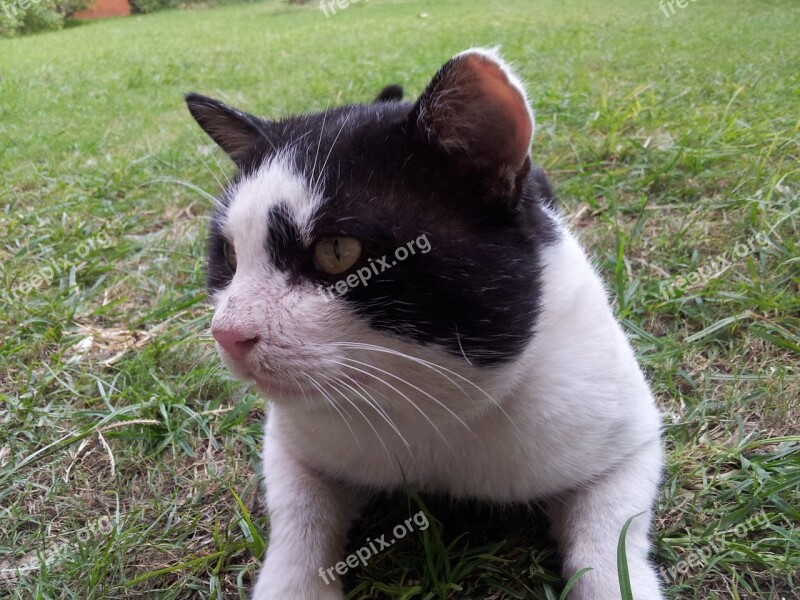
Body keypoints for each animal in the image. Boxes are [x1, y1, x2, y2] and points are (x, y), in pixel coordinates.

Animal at [186, 48, 664, 600]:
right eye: (227, 254)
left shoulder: (625, 434)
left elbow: (609, 540)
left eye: (337, 251)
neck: (431, 409)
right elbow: (300, 517)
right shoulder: (291, 446)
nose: (227, 333)